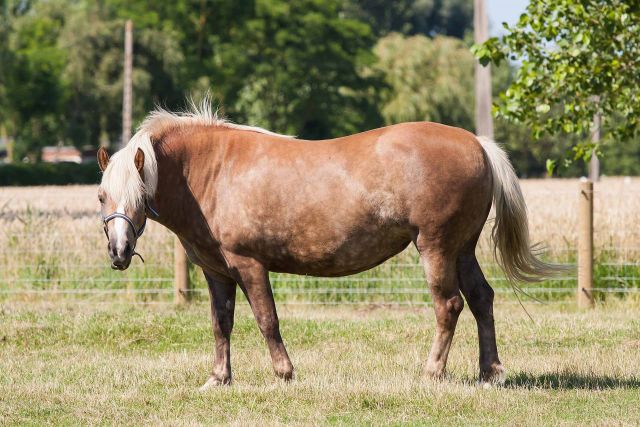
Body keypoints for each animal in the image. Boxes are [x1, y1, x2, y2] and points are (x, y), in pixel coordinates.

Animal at [95, 100, 560, 392]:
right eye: (102, 196)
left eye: (138, 195)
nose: (118, 252)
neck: (213, 171)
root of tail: (477, 143)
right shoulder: (216, 271)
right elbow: (220, 324)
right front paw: (218, 378)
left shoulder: (249, 265)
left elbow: (267, 320)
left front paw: (284, 373)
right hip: (463, 249)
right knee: (482, 299)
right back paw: (490, 372)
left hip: (437, 248)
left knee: (449, 305)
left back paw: (432, 372)